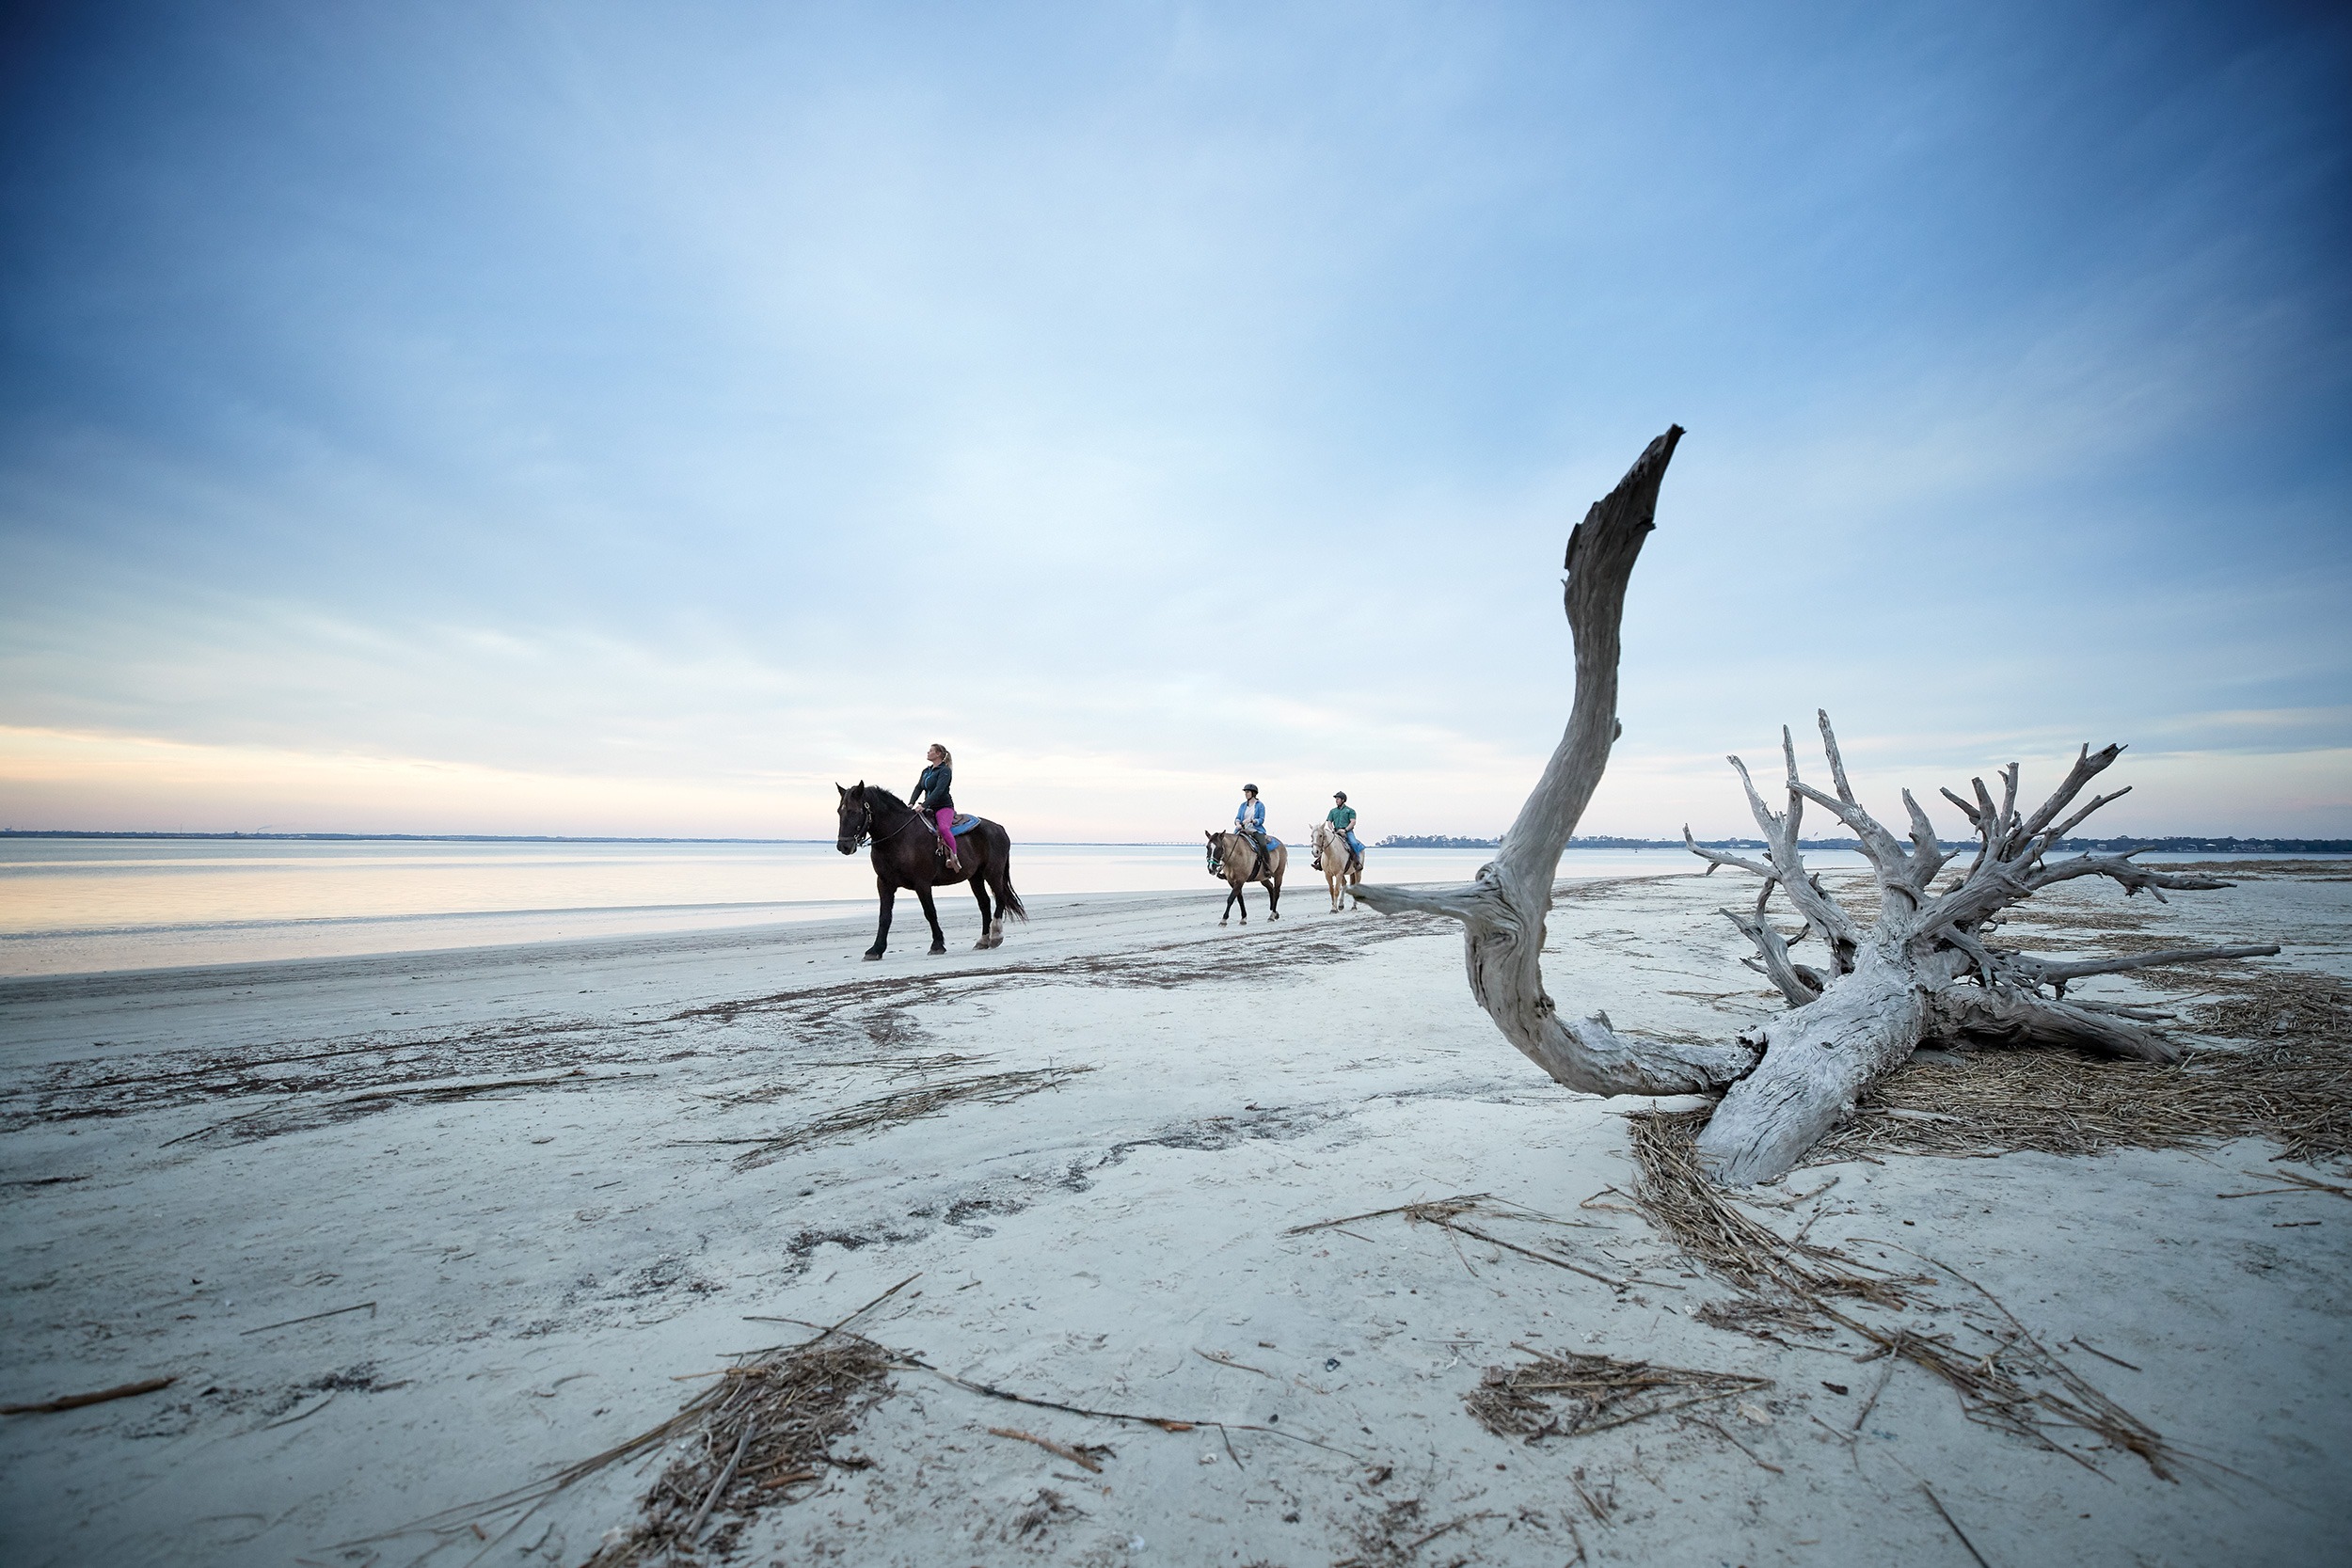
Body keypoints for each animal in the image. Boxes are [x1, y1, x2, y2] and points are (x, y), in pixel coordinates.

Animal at [847, 780, 1030, 963]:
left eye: (854, 811)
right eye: (841, 811)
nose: (844, 846)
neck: (899, 837)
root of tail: (1000, 828)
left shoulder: (922, 883)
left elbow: (930, 912)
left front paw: (937, 945)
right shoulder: (884, 883)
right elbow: (884, 917)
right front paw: (875, 950)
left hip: (993, 873)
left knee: (1000, 897)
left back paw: (996, 936)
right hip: (975, 877)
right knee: (984, 903)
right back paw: (983, 940)